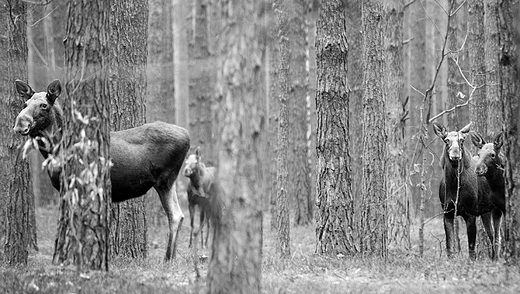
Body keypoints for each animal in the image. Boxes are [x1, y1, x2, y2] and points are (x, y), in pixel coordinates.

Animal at [12, 79, 190, 260]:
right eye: (25, 103)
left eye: (44, 105)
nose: (20, 124)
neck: (54, 150)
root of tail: (187, 134)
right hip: (169, 182)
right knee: (179, 215)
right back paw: (171, 259)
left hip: (164, 180)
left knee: (175, 216)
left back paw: (167, 258)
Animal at [434, 121, 504, 260]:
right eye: (446, 140)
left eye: (462, 140)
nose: (455, 155)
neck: (454, 187)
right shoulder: (447, 212)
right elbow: (449, 248)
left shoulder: (470, 213)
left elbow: (472, 250)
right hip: (485, 212)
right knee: (492, 236)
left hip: (497, 209)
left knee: (497, 237)